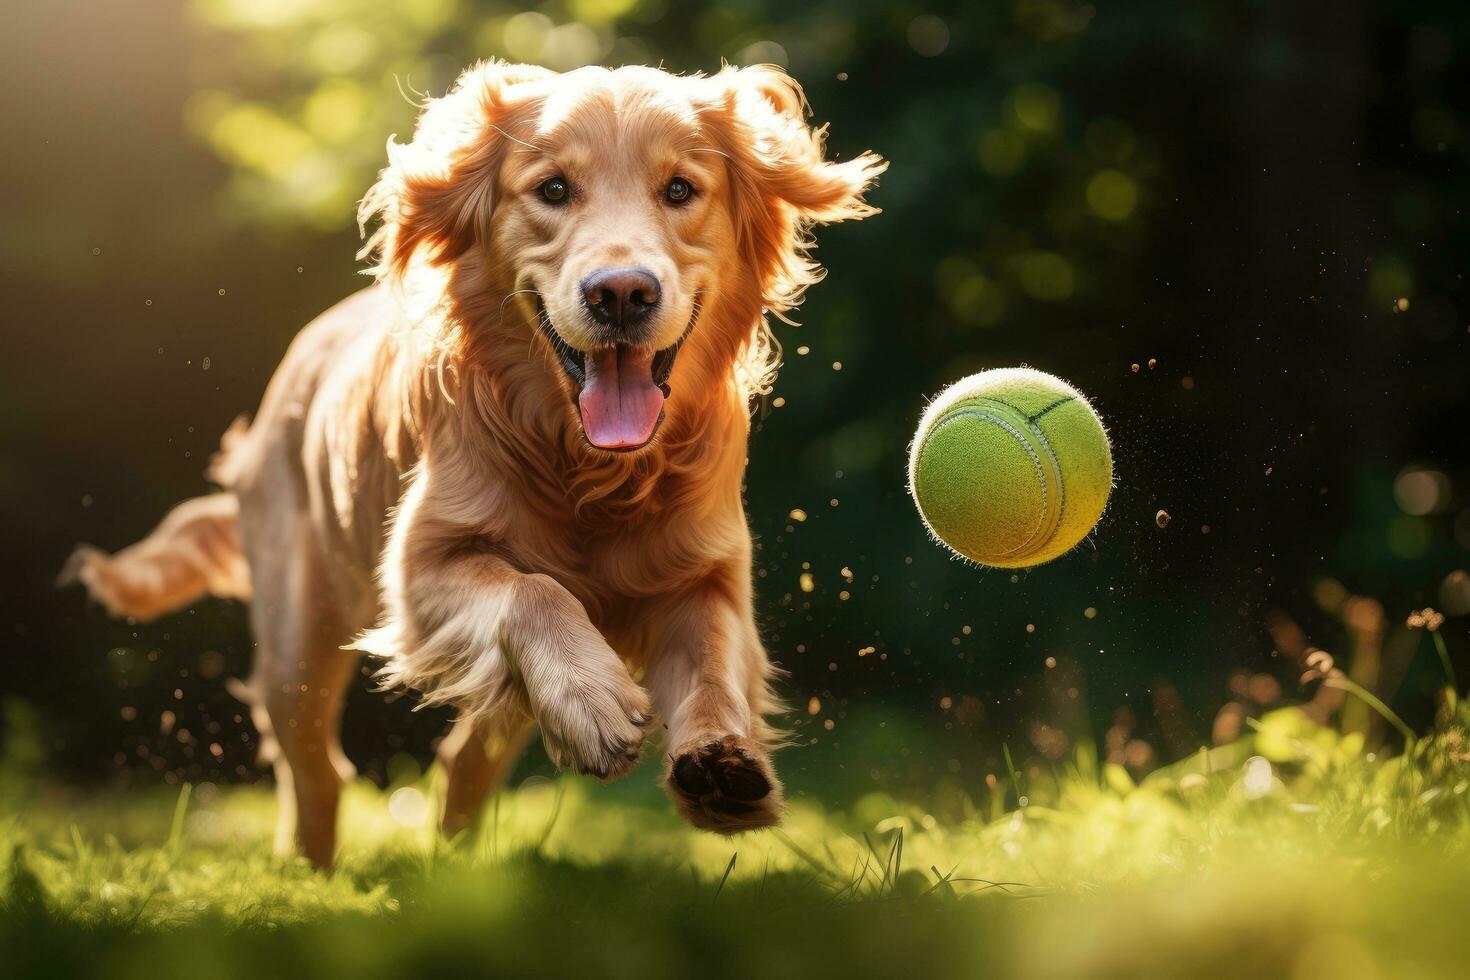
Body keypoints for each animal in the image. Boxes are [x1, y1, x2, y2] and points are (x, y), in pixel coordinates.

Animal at [63, 61, 876, 863]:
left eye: (680, 190)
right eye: (553, 189)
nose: (621, 294)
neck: (589, 469)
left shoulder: (706, 571)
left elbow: (713, 660)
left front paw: (718, 762)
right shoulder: (419, 570)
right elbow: (535, 592)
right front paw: (595, 702)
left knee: (465, 757)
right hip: (299, 630)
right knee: (317, 767)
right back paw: (311, 872)